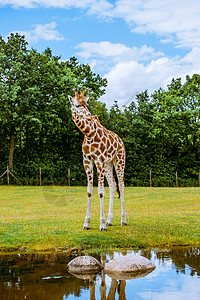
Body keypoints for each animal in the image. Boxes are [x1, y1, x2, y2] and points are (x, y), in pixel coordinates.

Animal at [68, 88, 126, 231]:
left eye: (86, 104)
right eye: (77, 105)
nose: (90, 116)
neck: (88, 134)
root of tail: (120, 140)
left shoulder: (99, 160)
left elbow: (100, 191)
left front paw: (102, 224)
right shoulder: (87, 161)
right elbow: (90, 191)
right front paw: (86, 223)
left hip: (119, 160)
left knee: (121, 185)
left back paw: (123, 220)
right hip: (108, 164)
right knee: (113, 185)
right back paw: (110, 220)